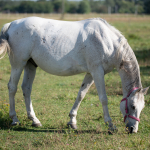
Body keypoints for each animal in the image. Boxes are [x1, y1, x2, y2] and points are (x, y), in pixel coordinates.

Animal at [0, 17, 148, 133]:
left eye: (142, 107)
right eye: (133, 106)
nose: (133, 129)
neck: (107, 42)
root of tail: (11, 24)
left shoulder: (90, 73)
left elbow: (81, 95)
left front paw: (72, 121)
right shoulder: (97, 72)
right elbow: (103, 98)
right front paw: (111, 125)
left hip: (30, 65)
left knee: (26, 89)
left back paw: (35, 120)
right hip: (18, 64)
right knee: (12, 87)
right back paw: (14, 119)